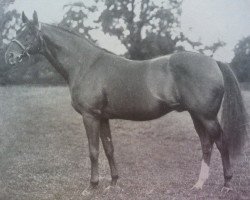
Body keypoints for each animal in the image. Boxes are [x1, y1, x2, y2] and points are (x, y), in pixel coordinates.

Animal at [4, 10, 247, 194]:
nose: (9, 56)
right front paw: (113, 183)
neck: (85, 64)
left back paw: (226, 184)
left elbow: (93, 151)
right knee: (206, 144)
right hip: (196, 116)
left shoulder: (90, 116)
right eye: (19, 31)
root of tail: (214, 61)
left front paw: (91, 187)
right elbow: (109, 148)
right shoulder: (102, 117)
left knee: (221, 142)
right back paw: (198, 184)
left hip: (207, 116)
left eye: (28, 33)